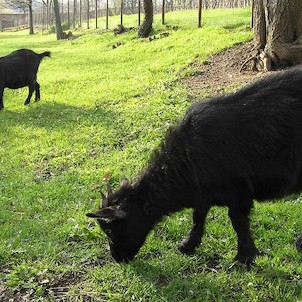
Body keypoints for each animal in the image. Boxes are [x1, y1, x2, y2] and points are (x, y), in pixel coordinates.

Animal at [86, 66, 302, 264]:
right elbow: (198, 216)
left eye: (109, 229)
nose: (118, 258)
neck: (188, 158)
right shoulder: (202, 194)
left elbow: (238, 221)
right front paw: (188, 245)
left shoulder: (239, 191)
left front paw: (244, 256)